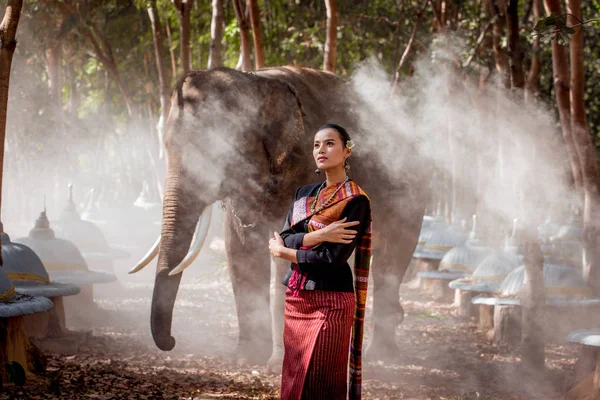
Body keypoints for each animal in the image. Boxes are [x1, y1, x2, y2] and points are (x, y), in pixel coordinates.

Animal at [132, 66, 426, 368]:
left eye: (214, 151)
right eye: (167, 146)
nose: (171, 341)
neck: (255, 82)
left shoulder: (303, 165)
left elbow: (292, 248)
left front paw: (280, 362)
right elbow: (239, 247)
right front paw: (245, 359)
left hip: (411, 191)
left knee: (392, 259)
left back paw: (381, 355)